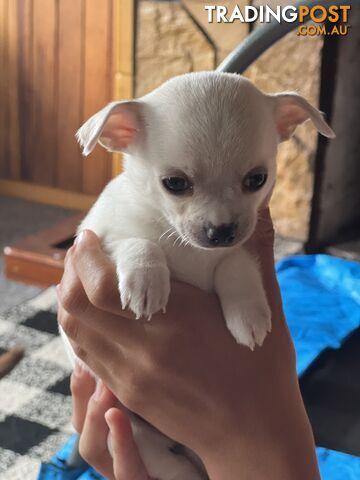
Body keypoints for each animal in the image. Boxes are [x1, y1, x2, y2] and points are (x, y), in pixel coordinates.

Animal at [61, 72, 334, 480]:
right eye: (175, 183)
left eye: (257, 179)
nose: (221, 231)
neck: (190, 251)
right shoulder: (98, 237)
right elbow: (139, 242)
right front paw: (146, 281)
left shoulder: (243, 250)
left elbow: (235, 267)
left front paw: (248, 314)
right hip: (126, 425)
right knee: (165, 462)